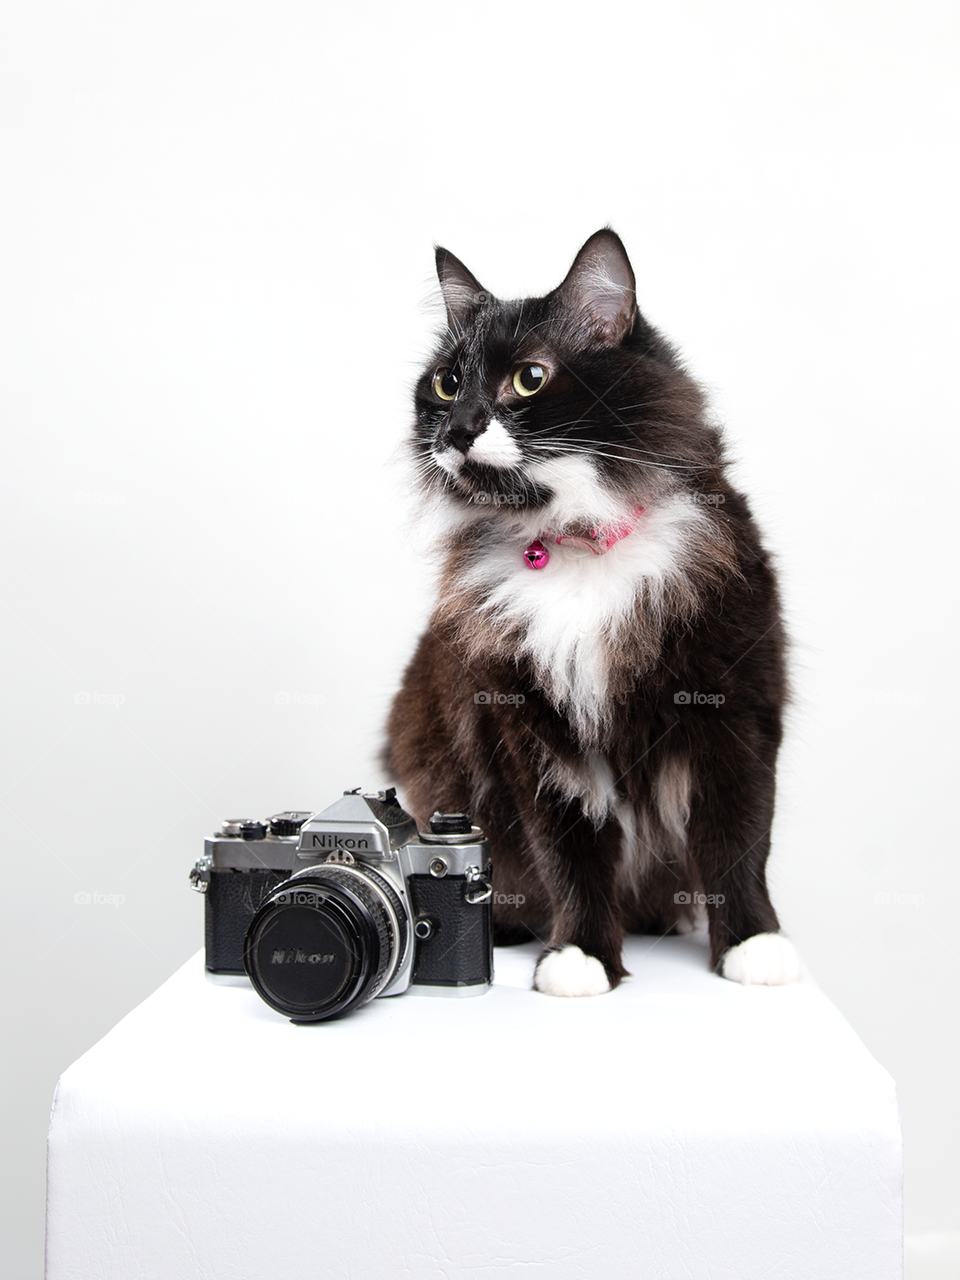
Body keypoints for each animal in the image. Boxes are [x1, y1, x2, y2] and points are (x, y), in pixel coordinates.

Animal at [386, 230, 803, 993]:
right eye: (447, 383)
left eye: (529, 378)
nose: (457, 428)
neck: (578, 543)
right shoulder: (530, 727)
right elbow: (569, 853)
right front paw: (579, 953)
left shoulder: (736, 707)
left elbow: (737, 840)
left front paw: (753, 943)